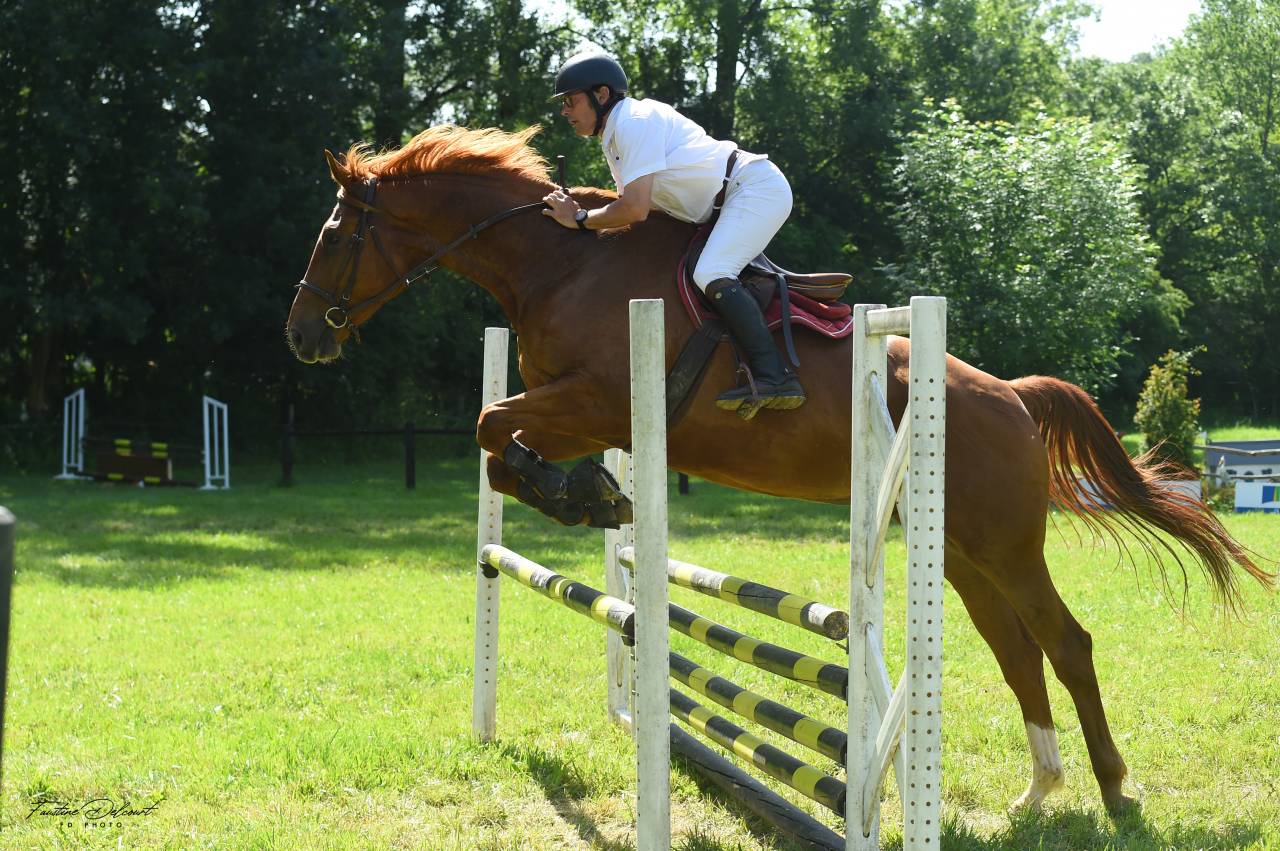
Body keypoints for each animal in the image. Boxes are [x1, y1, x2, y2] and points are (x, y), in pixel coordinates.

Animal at [286, 124, 1272, 815]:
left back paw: (1114, 789)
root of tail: (1012, 397)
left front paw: (583, 495)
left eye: (334, 236)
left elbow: (492, 426)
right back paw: (1038, 789)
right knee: (1016, 649)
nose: (299, 337)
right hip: (958, 551)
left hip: (1004, 543)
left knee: (1066, 643)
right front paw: (589, 496)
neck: (559, 260)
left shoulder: (600, 399)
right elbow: (500, 446)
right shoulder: (578, 408)